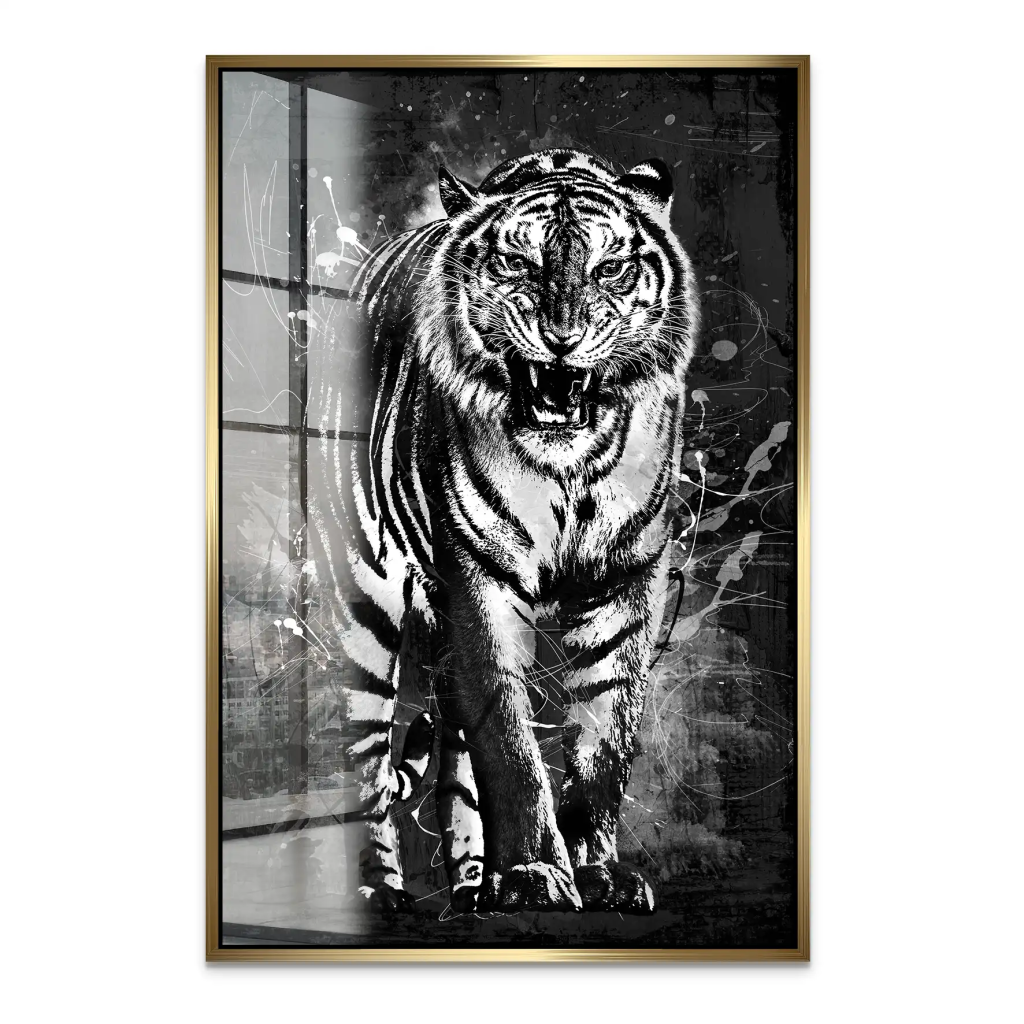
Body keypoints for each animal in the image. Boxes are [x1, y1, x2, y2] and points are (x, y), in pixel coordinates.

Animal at [309, 148, 699, 916]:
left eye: (610, 268)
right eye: (519, 263)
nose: (563, 339)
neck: (569, 467)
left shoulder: (623, 585)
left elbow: (604, 739)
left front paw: (597, 874)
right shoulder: (479, 582)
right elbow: (510, 744)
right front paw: (533, 876)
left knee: (454, 766)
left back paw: (469, 886)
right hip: (365, 607)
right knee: (365, 759)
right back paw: (382, 889)